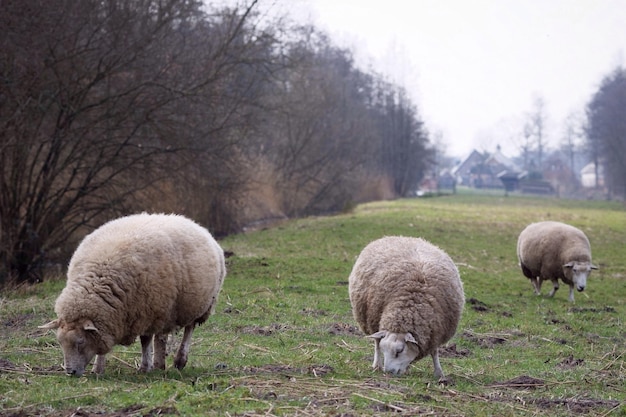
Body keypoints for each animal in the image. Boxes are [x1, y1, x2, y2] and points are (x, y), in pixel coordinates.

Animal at [39, 213, 224, 376]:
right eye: (60, 343)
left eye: (80, 342)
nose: (70, 372)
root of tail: (193, 223)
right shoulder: (118, 318)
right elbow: (104, 343)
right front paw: (98, 369)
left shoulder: (153, 311)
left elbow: (148, 341)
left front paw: (148, 367)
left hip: (196, 306)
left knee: (187, 330)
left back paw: (177, 360)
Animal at [346, 236, 464, 378]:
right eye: (385, 350)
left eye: (399, 351)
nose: (389, 372)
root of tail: (399, 237)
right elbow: (378, 345)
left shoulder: (435, 330)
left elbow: (434, 352)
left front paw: (438, 373)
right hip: (370, 319)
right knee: (376, 342)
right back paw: (377, 365)